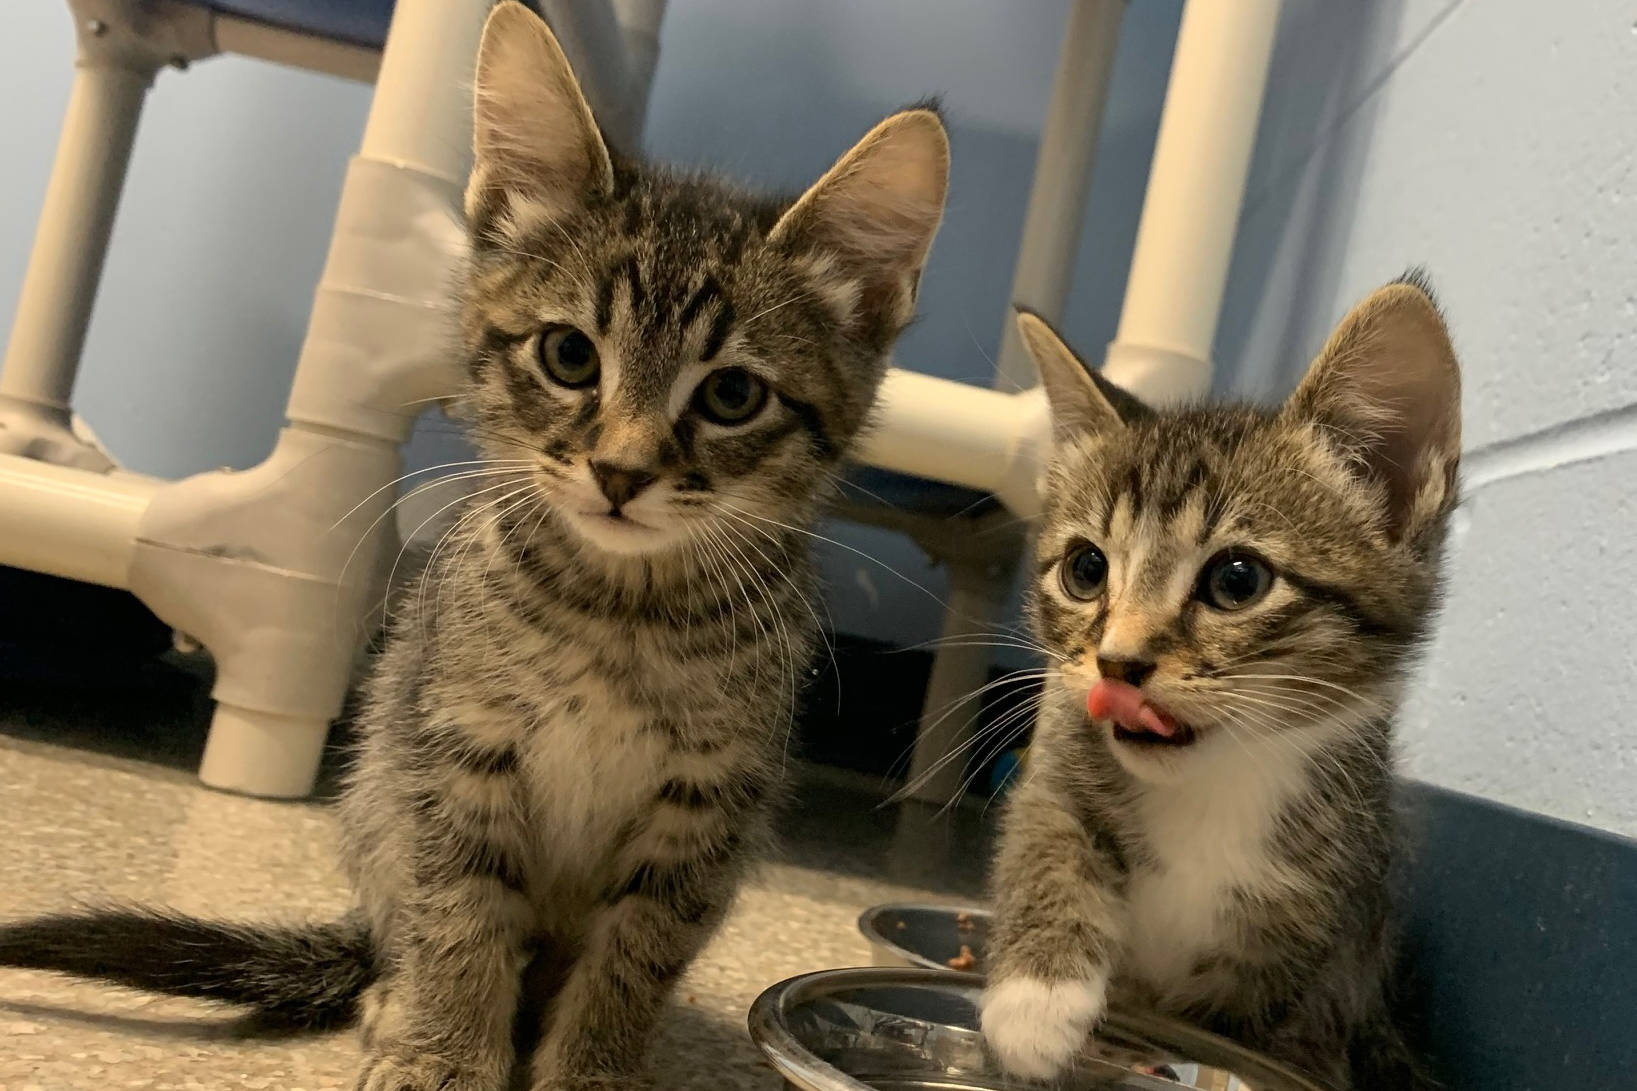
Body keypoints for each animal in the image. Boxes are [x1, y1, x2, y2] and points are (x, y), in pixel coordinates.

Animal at [0, 4, 949, 1081]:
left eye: (732, 394)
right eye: (570, 354)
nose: (620, 471)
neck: (619, 611)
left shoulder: (705, 807)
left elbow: (634, 953)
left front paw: (594, 1065)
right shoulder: (455, 752)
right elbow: (460, 915)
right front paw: (445, 1049)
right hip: (380, 791)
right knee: (400, 926)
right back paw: (393, 995)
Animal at [975, 281, 1466, 1087]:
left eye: (1237, 580)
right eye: (1085, 569)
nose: (1116, 662)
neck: (1215, 779)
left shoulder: (1313, 931)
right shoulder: (1058, 760)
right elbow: (1048, 838)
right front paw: (1035, 1007)